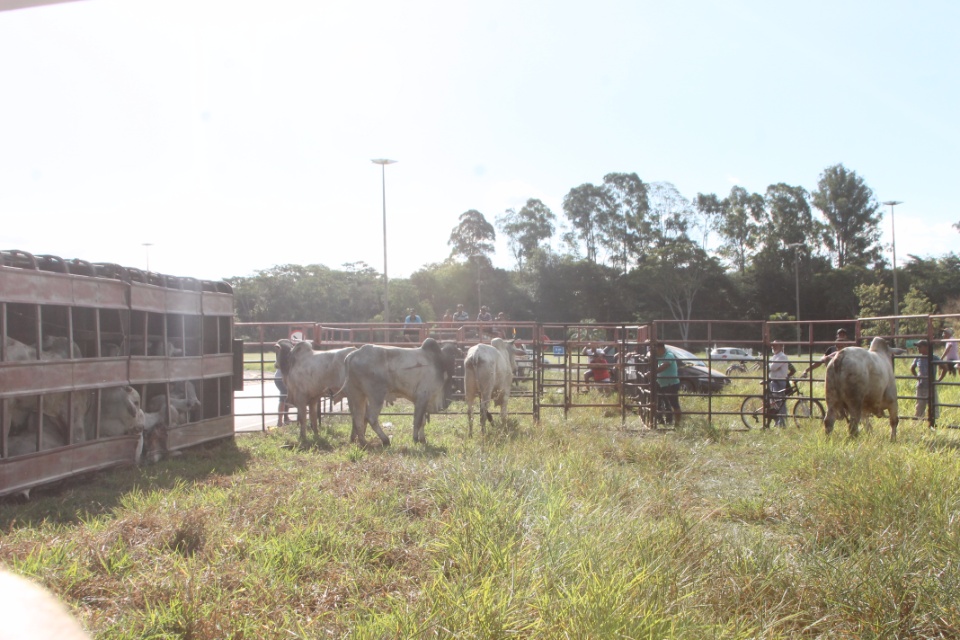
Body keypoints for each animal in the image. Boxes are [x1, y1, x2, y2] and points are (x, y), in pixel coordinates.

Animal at [334, 340, 462, 444]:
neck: (439, 362)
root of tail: (353, 355)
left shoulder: (421, 400)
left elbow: (423, 421)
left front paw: (422, 439)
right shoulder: (423, 396)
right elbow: (417, 420)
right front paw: (415, 439)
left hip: (357, 394)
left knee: (358, 417)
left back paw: (363, 442)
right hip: (376, 396)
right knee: (370, 418)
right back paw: (385, 440)